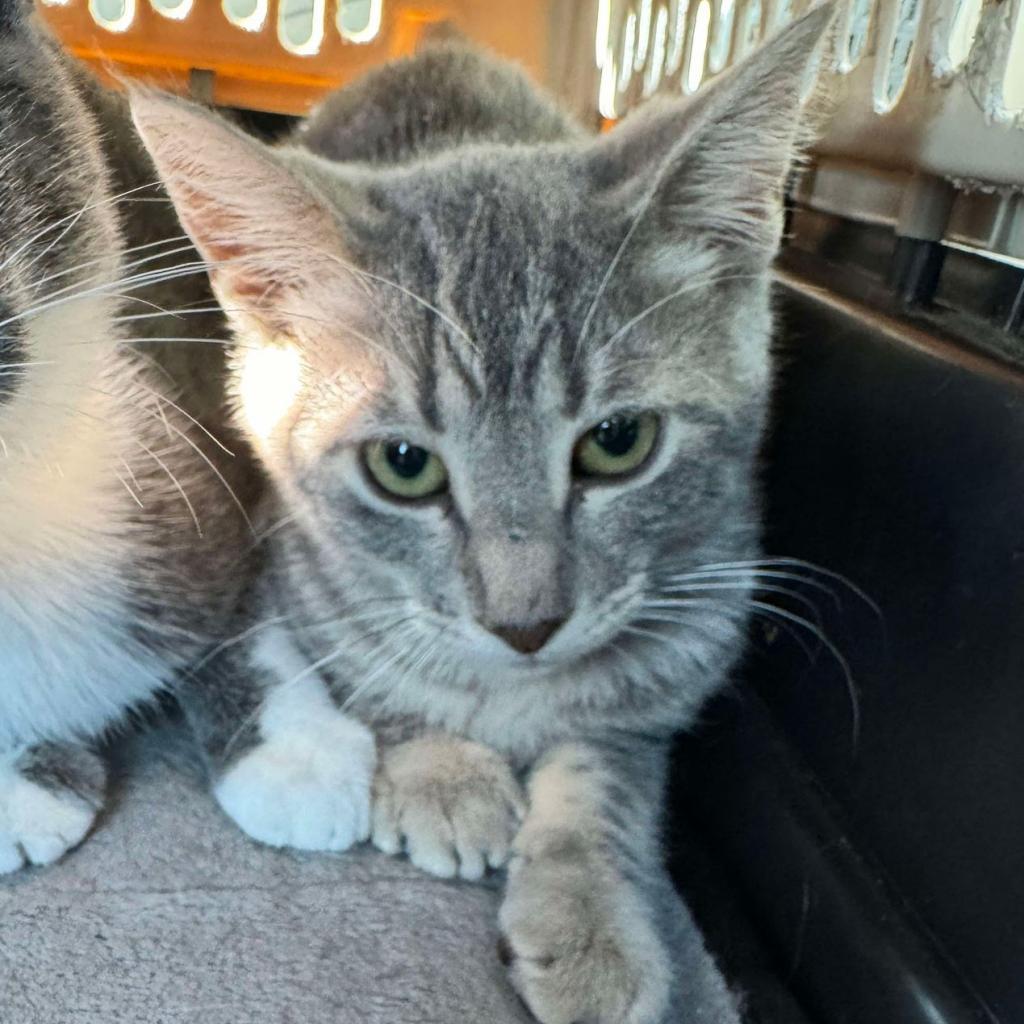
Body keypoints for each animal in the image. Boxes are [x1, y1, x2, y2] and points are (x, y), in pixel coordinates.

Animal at [130, 9, 831, 1024]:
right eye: (403, 465)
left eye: (618, 441)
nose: (526, 624)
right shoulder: (299, 566)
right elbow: (375, 667)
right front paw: (443, 771)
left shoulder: (692, 639)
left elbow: (606, 774)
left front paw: (590, 918)